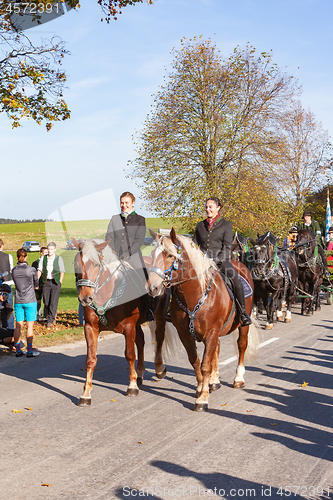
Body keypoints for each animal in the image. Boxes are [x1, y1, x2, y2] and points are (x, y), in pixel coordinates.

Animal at [72, 238, 169, 406]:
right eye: (76, 264)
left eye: (95, 264)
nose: (85, 298)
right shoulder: (90, 328)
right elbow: (90, 360)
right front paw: (85, 394)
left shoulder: (128, 326)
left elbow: (130, 355)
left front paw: (132, 387)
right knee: (141, 342)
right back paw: (140, 373)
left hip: (159, 316)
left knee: (159, 338)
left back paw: (158, 369)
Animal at [147, 229, 255, 412]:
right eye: (152, 254)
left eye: (170, 255)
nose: (152, 287)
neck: (194, 295)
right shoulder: (185, 334)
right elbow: (195, 361)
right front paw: (200, 388)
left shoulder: (211, 332)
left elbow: (205, 365)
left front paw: (203, 399)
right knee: (217, 349)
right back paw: (214, 381)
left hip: (242, 325)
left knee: (241, 345)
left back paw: (238, 378)